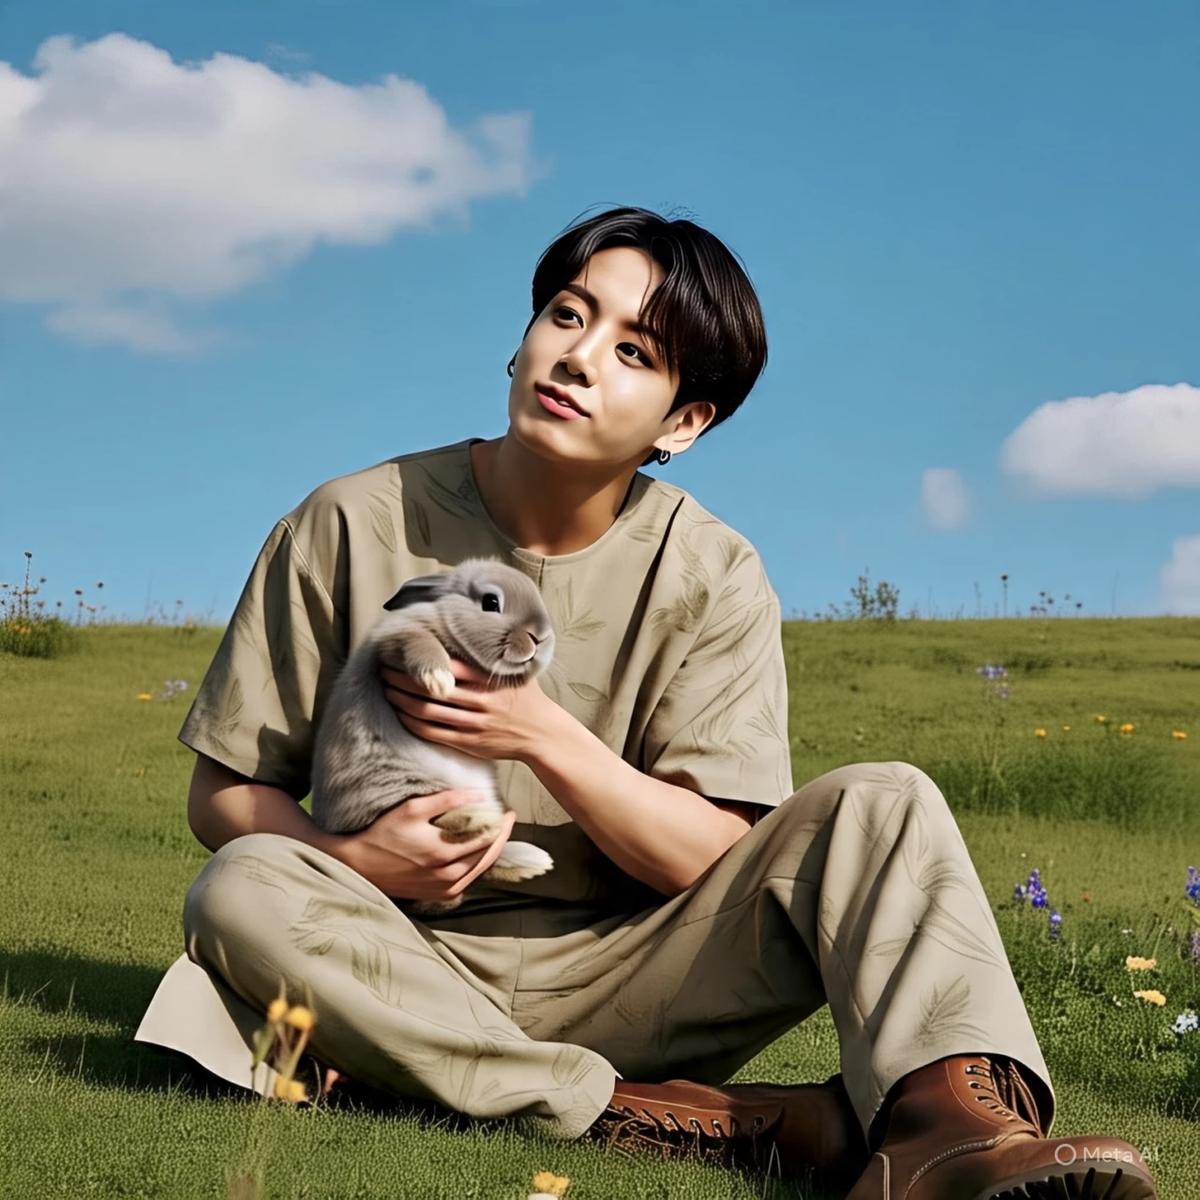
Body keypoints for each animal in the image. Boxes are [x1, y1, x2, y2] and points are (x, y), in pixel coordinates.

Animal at [310, 557, 556, 915]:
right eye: (491, 602)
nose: (540, 637)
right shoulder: (394, 641)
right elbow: (416, 642)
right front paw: (439, 680)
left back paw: (533, 861)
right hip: (403, 793)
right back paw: (480, 821)